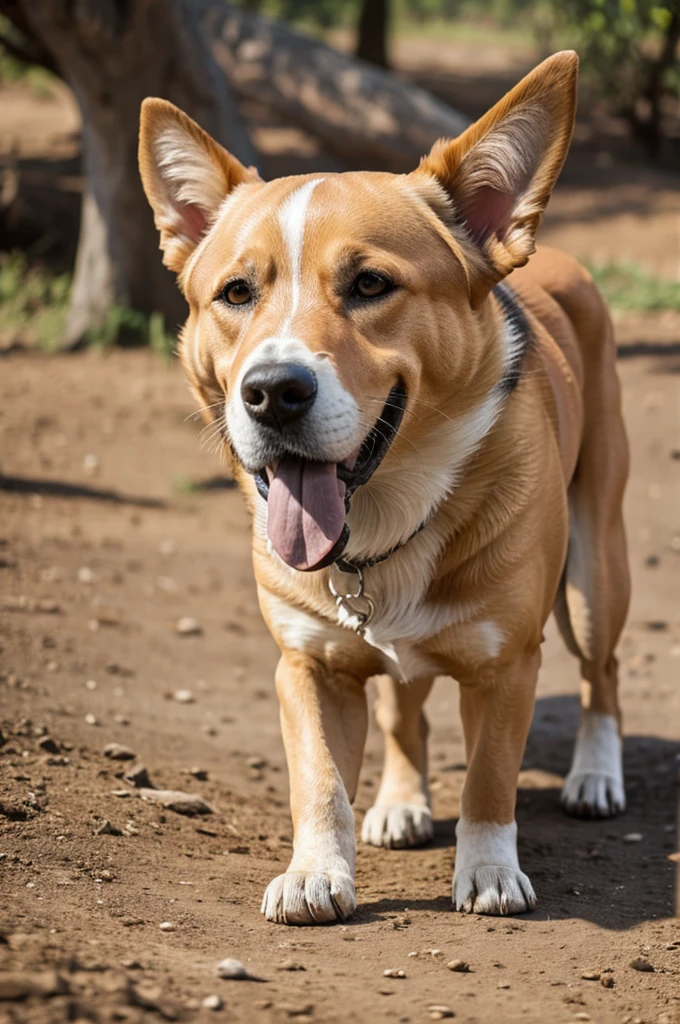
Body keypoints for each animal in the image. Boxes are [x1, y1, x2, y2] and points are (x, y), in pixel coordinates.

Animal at [138, 51, 630, 925]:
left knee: (602, 675)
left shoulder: (510, 664)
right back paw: (401, 800)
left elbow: (490, 779)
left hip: (595, 573)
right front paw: (314, 871)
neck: (384, 521)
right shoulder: (306, 666)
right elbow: (320, 780)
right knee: (404, 709)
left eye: (370, 284)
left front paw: (490, 871)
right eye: (236, 293)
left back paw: (596, 776)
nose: (272, 392)